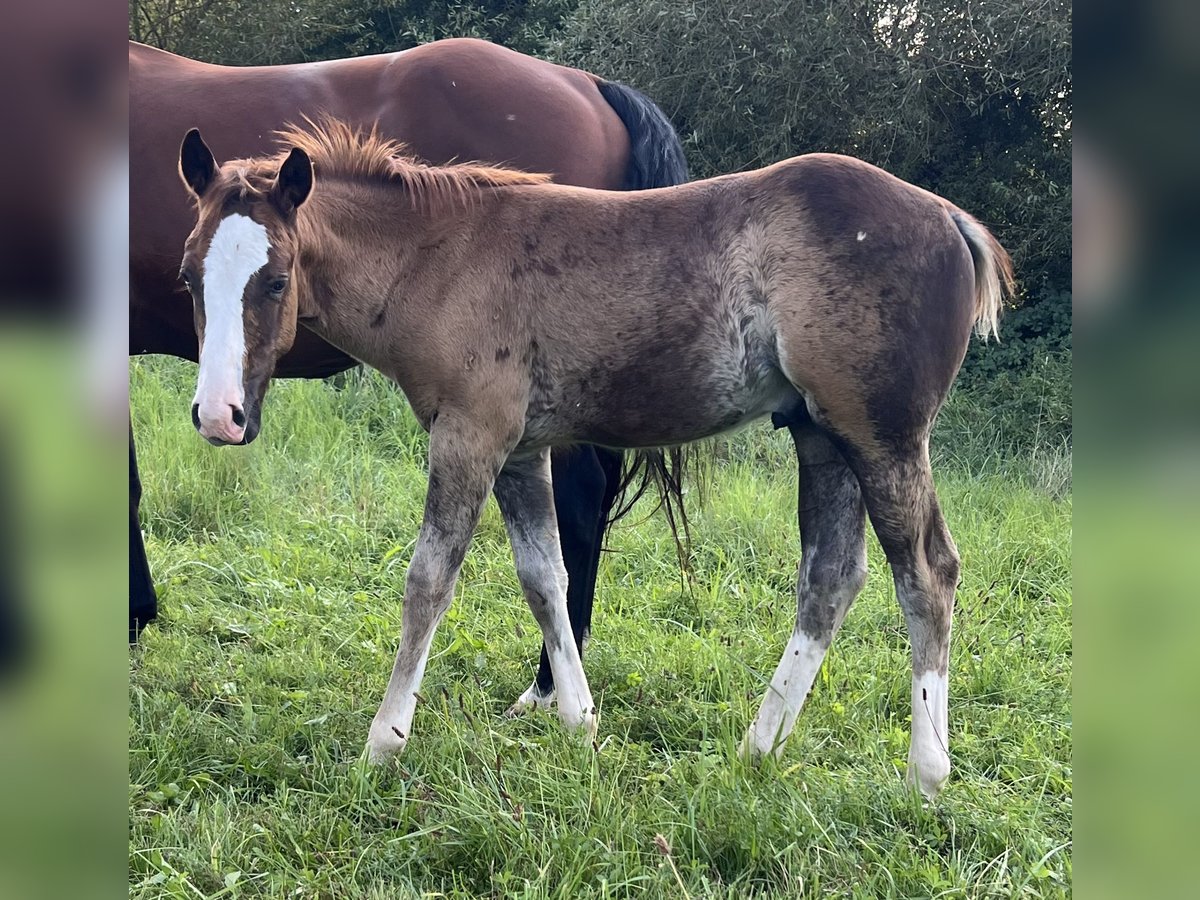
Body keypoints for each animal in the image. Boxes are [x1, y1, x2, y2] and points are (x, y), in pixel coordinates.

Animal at [128, 39, 689, 711]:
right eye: (186, 277)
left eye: (280, 281)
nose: (218, 415)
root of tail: (589, 84)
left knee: (579, 510)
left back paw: (549, 685)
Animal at [174, 119, 1012, 797]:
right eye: (188, 275)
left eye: (275, 279)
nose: (219, 416)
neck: (436, 258)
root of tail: (949, 218)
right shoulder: (520, 452)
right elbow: (546, 576)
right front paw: (579, 723)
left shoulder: (469, 436)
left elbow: (428, 583)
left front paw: (383, 745)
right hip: (821, 434)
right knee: (832, 577)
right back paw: (756, 749)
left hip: (882, 435)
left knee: (927, 572)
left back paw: (926, 773)